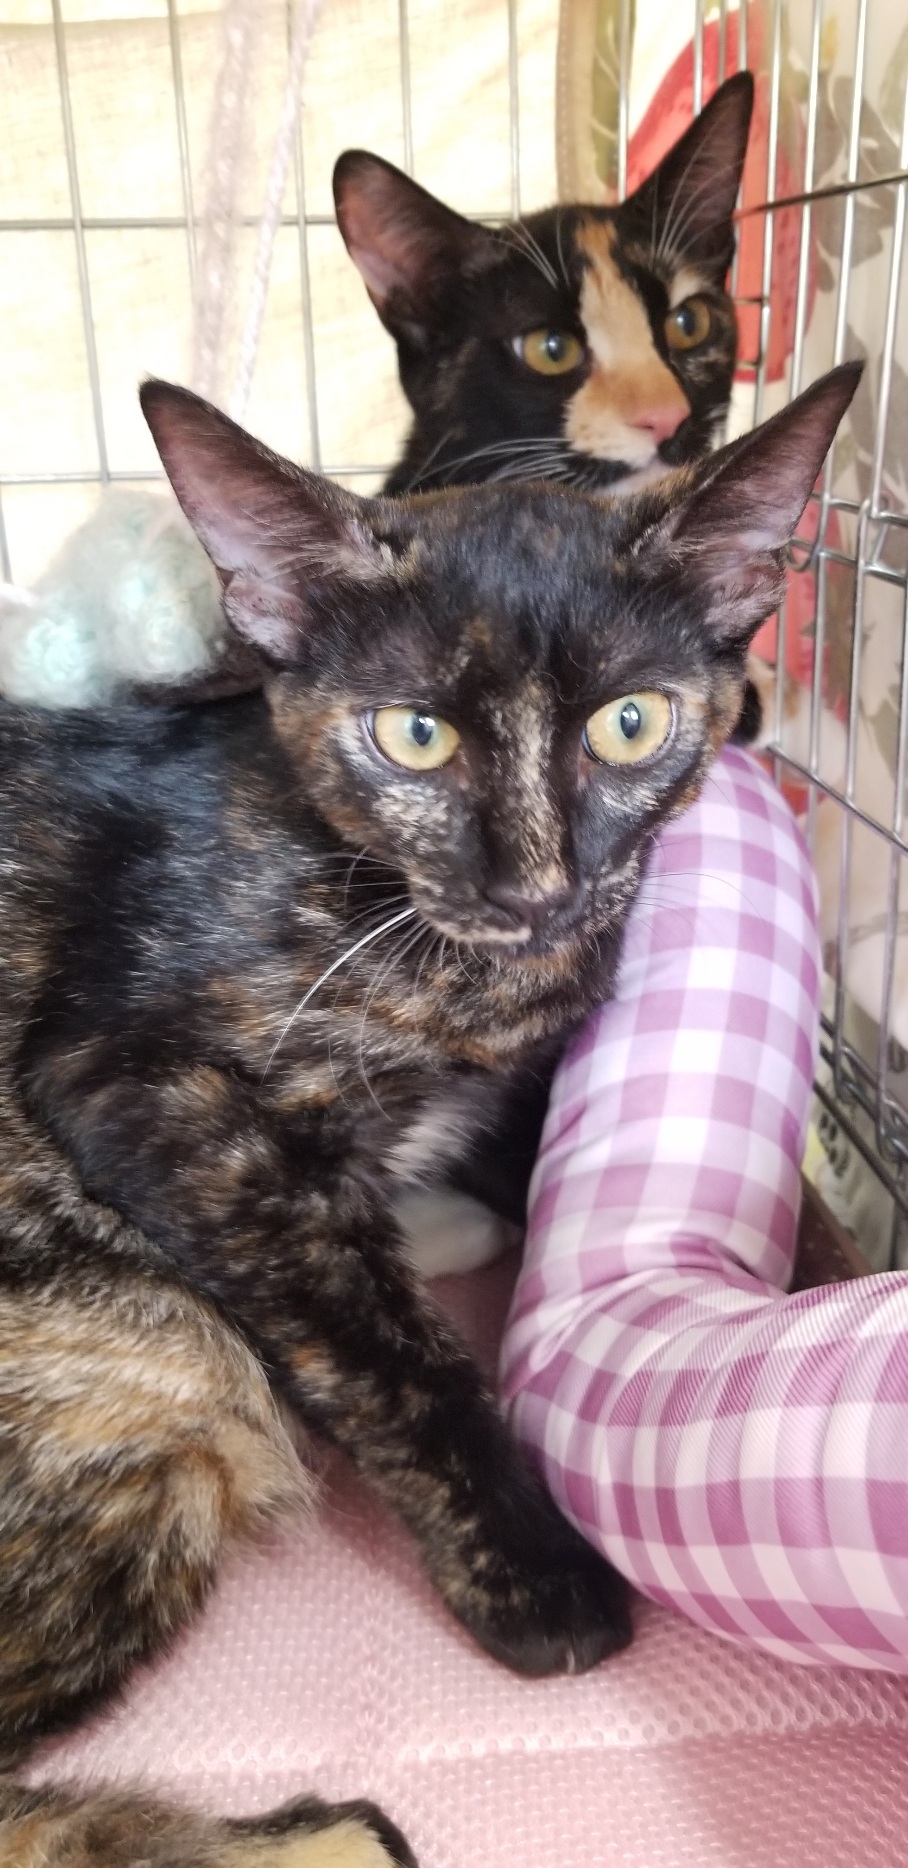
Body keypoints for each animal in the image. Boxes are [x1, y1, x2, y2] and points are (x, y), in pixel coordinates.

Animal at [0, 360, 858, 1866]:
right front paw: (533, 1575)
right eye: (415, 736)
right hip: (167, 1367)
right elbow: (383, 1344)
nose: (533, 883)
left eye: (630, 722)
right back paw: (321, 1837)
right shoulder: (131, 1085)